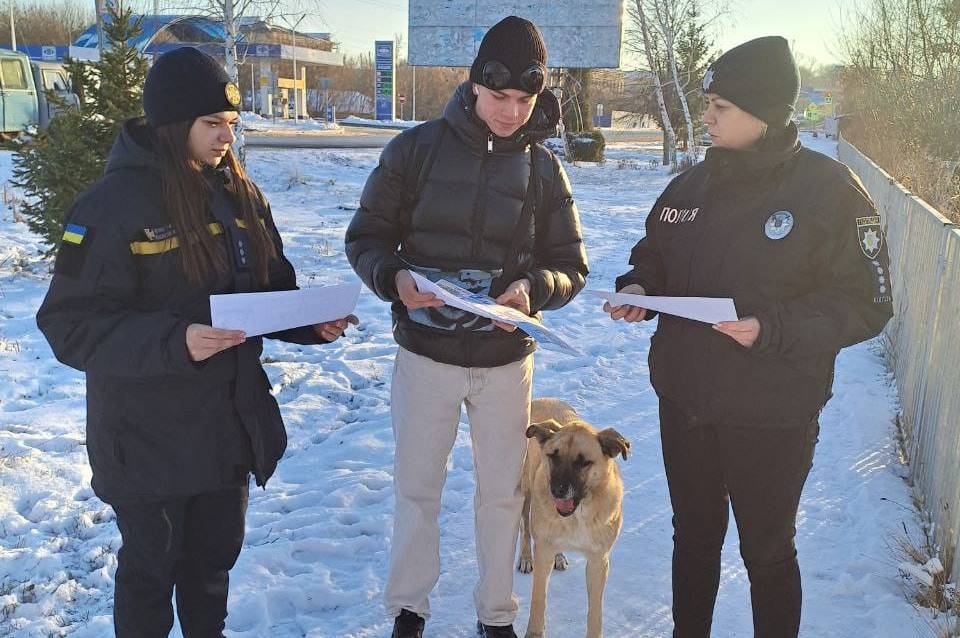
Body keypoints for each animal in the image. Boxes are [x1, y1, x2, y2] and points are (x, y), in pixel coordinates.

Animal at [516, 400, 632, 638]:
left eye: (584, 462)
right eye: (553, 456)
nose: (557, 491)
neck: (578, 515)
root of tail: (544, 398)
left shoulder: (598, 560)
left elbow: (595, 611)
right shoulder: (543, 552)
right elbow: (538, 601)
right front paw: (534, 632)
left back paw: (559, 556)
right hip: (526, 491)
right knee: (524, 527)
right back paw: (525, 557)